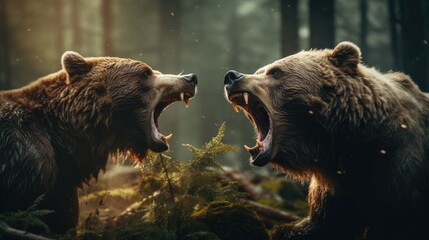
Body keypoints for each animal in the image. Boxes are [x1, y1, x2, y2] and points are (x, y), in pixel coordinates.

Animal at [224, 42, 428, 239]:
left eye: (275, 71)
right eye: (259, 70)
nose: (231, 76)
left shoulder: (396, 165)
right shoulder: (337, 189)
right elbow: (326, 224)